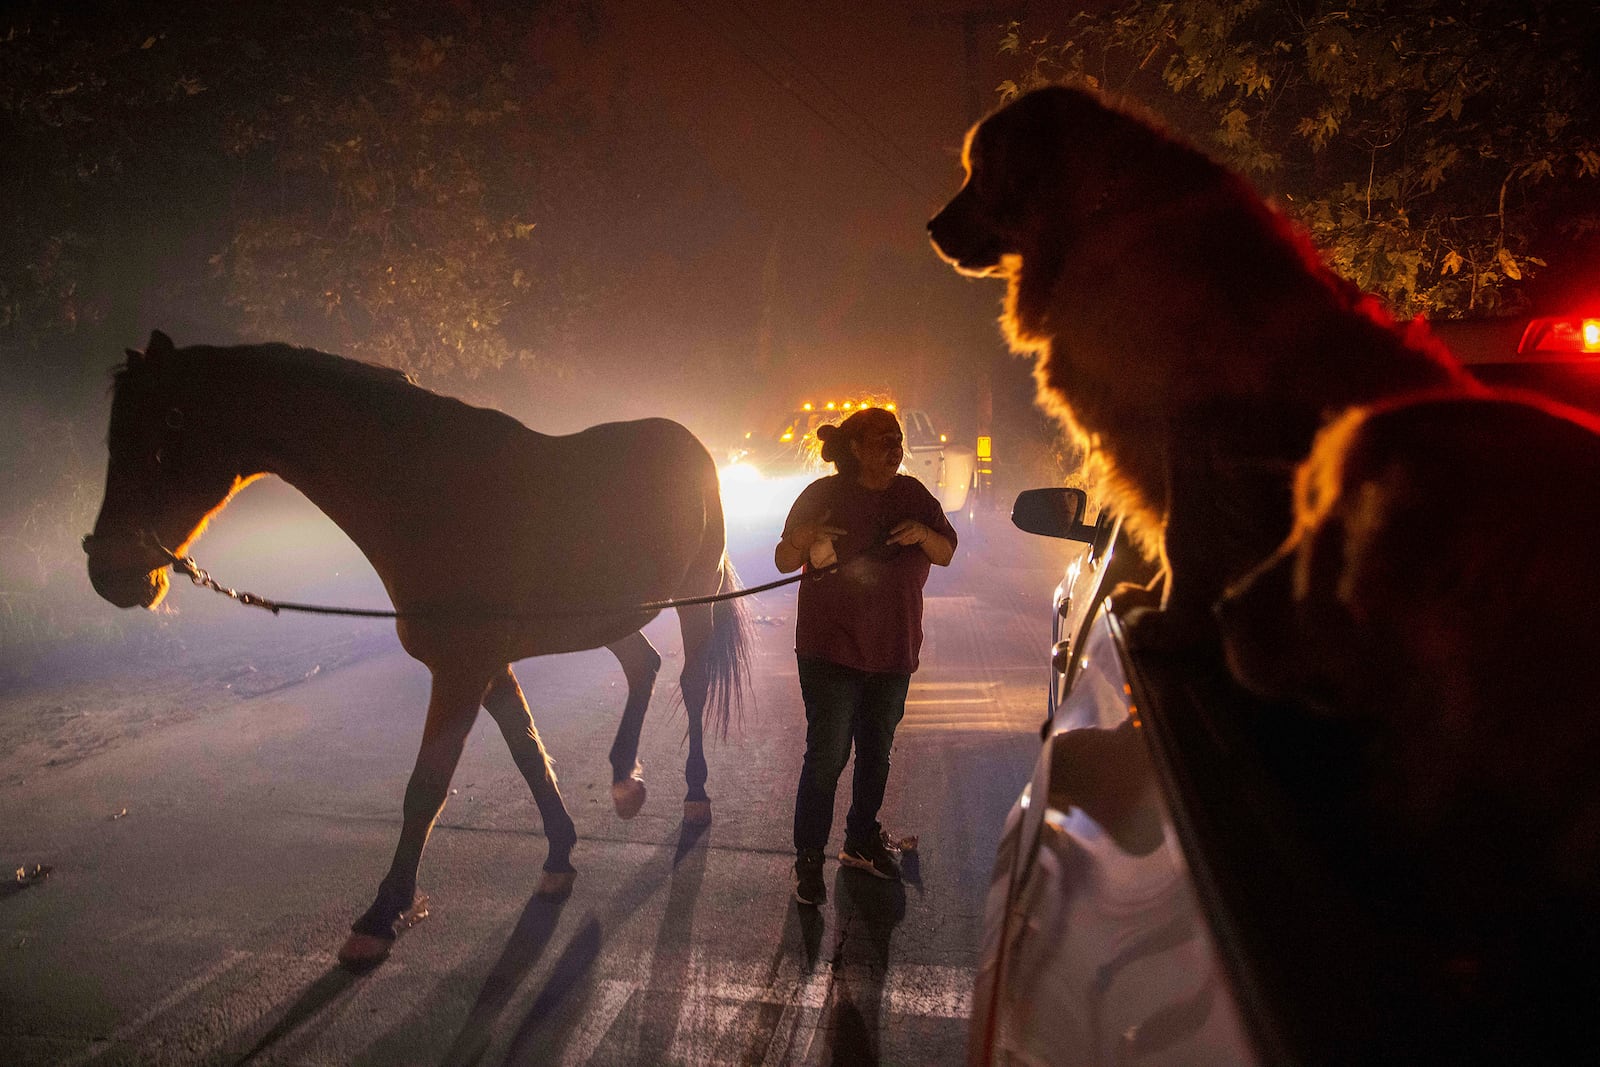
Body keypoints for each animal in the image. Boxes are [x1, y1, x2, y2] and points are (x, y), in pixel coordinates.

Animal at [90, 331, 752, 966]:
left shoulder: (462, 671)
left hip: (693, 596)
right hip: (610, 616)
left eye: (161, 430)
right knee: (644, 665)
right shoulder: (486, 667)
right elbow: (528, 753)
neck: (433, 502)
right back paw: (623, 782)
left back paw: (695, 794)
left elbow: (426, 788)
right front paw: (559, 858)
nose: (107, 574)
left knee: (691, 683)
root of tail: (688, 441)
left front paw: (381, 915)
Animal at [934, 87, 1478, 630]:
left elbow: (1185, 531)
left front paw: (1174, 610)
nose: (931, 226)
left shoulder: (1186, 418)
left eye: (980, 172)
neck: (1093, 218)